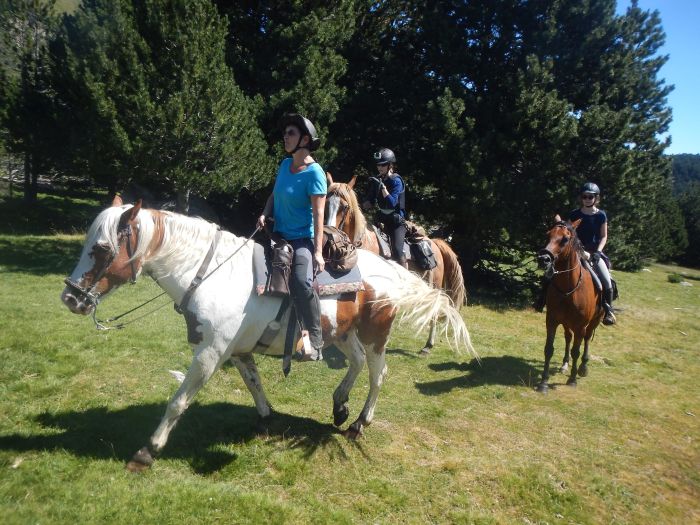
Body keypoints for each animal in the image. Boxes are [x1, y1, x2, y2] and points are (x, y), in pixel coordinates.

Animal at [61, 196, 476, 470]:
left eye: (102, 248)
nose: (71, 297)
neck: (211, 274)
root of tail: (391, 269)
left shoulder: (210, 352)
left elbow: (178, 401)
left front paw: (148, 451)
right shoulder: (236, 350)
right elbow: (254, 382)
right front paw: (265, 418)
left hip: (376, 334)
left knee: (378, 374)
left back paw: (359, 422)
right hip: (342, 333)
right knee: (356, 362)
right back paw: (340, 405)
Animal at [326, 174, 468, 354]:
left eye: (344, 207)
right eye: (326, 202)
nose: (330, 233)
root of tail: (435, 243)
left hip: (435, 285)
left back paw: (428, 345)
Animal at [536, 215, 600, 390]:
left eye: (565, 239)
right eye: (548, 234)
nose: (544, 259)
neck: (569, 289)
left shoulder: (580, 326)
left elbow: (576, 351)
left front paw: (572, 380)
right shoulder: (551, 321)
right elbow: (548, 349)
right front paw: (544, 382)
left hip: (593, 322)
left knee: (586, 339)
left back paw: (583, 367)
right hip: (566, 323)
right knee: (568, 337)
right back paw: (565, 364)